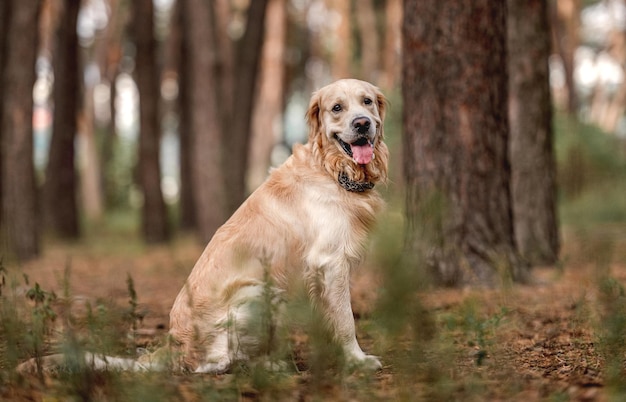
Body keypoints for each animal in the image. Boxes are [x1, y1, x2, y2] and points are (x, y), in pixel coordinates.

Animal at [18, 77, 386, 374]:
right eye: (337, 108)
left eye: (367, 101)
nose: (363, 123)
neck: (332, 169)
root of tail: (173, 345)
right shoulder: (330, 263)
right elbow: (345, 320)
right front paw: (358, 360)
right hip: (259, 290)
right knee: (212, 364)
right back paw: (256, 365)